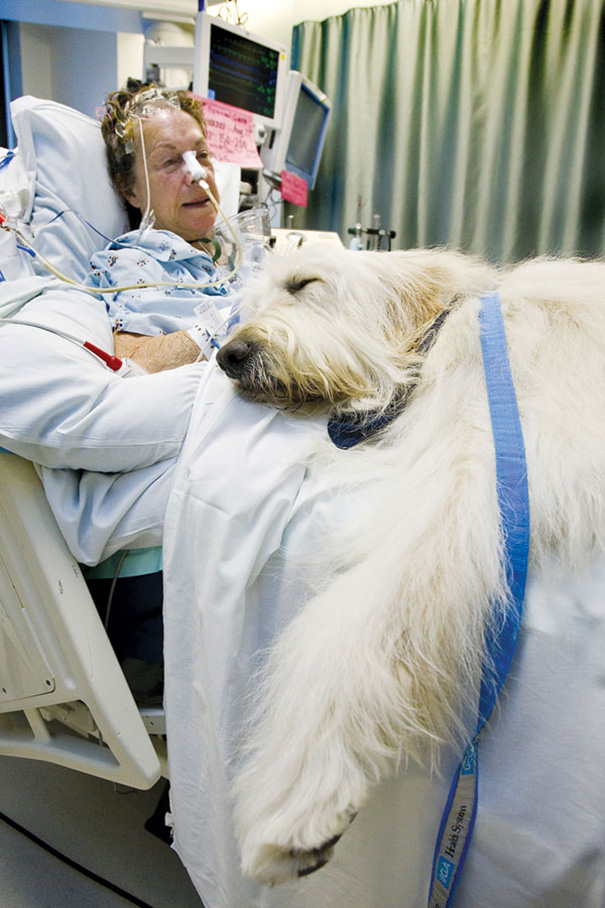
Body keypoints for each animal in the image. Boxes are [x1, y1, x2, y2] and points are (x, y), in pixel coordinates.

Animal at [215, 247, 600, 888]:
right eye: (249, 306)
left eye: (304, 283)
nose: (228, 355)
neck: (442, 338)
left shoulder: (468, 479)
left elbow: (351, 628)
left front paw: (300, 795)